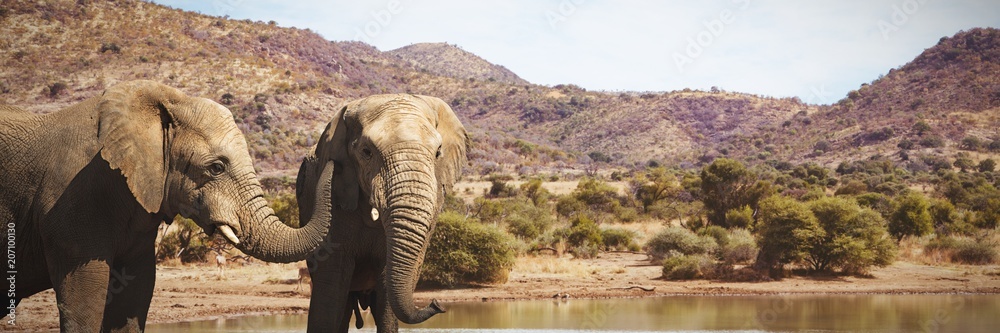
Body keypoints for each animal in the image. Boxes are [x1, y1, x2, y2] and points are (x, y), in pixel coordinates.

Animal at [0, 80, 336, 332]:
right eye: (216, 168)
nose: (325, 159)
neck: (166, 101)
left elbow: (135, 293)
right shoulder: (73, 202)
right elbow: (83, 301)